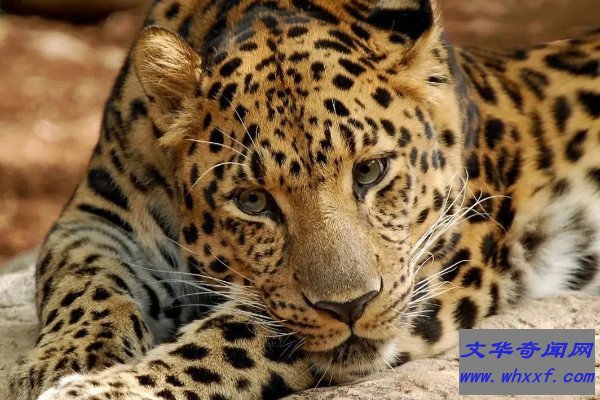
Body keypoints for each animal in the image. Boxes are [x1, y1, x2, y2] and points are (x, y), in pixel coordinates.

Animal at [9, 0, 600, 399]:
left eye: (371, 171)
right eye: (252, 201)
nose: (351, 306)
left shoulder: (439, 256)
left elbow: (228, 339)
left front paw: (101, 388)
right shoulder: (99, 215)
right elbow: (83, 278)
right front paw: (68, 358)